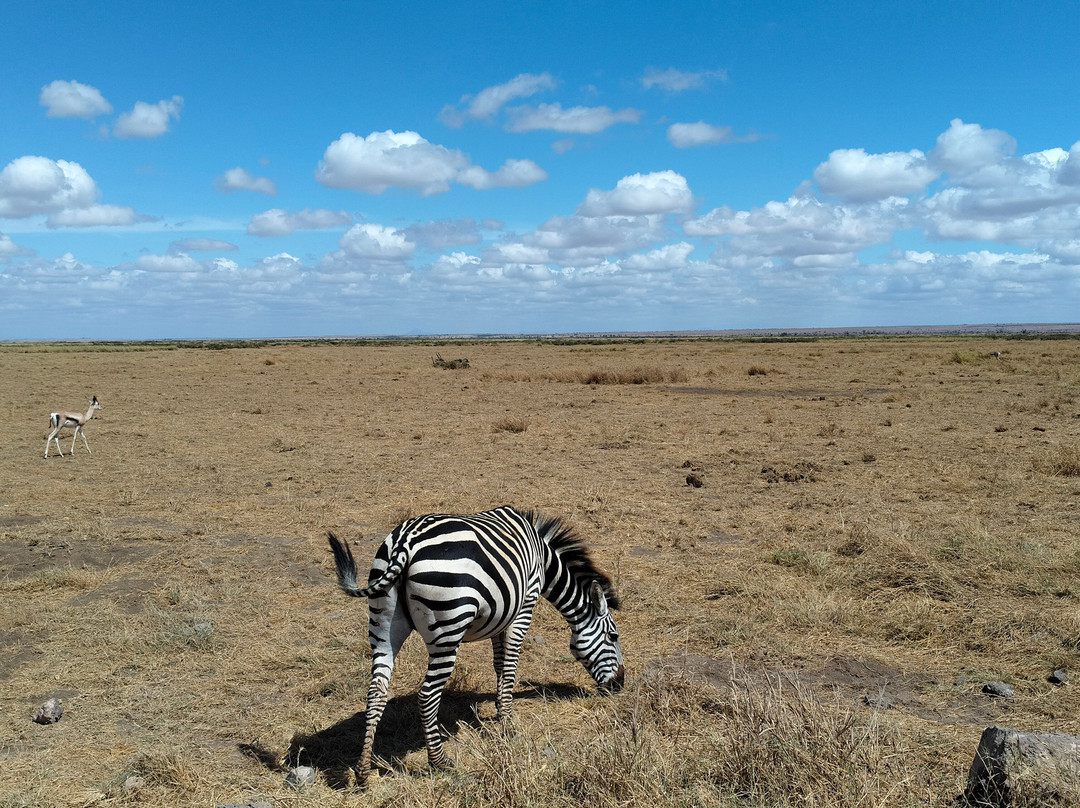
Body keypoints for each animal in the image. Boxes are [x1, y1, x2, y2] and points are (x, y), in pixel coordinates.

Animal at [327, 505, 624, 785]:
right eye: (613, 636)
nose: (620, 684)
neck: (543, 557)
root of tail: (404, 542)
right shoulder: (524, 604)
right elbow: (511, 662)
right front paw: (508, 721)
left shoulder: (501, 614)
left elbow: (499, 663)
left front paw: (499, 706)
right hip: (447, 629)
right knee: (427, 695)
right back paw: (439, 761)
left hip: (384, 625)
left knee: (376, 692)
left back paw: (363, 772)